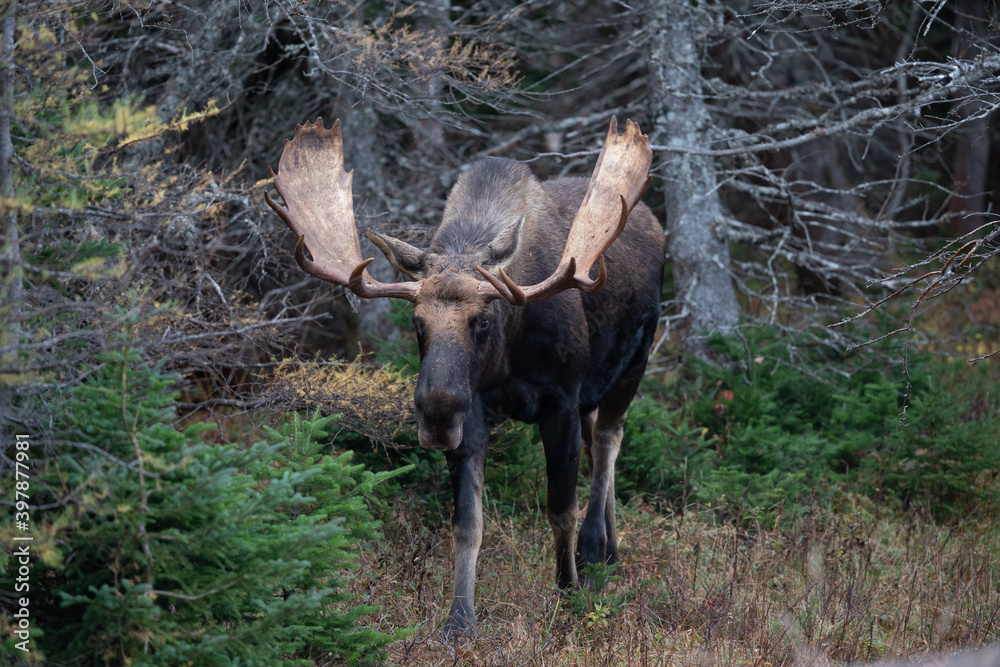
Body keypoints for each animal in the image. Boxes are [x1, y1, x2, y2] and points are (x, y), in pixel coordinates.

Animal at [268, 116, 664, 640]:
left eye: (483, 320)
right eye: (417, 323)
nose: (436, 414)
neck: (509, 353)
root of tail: (654, 222)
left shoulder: (559, 399)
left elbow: (560, 508)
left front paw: (568, 596)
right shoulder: (474, 411)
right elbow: (467, 523)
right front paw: (459, 622)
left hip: (634, 360)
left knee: (609, 440)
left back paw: (595, 550)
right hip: (588, 391)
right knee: (599, 435)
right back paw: (610, 552)